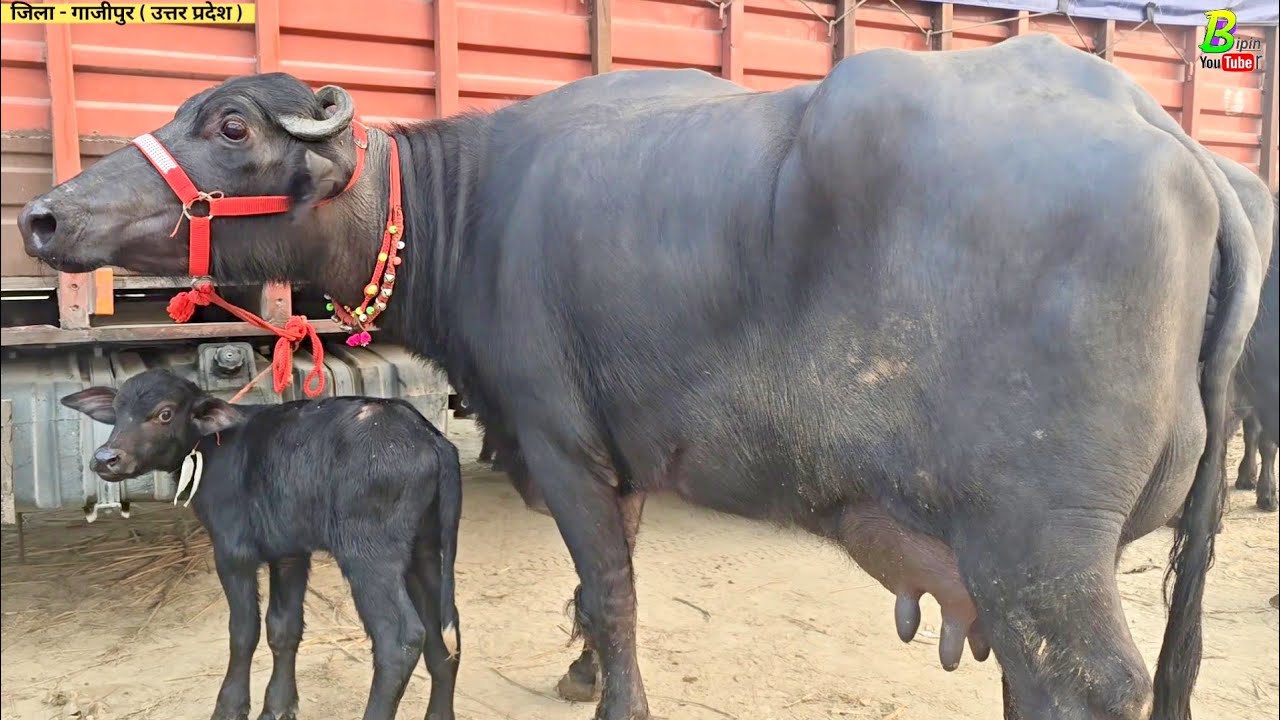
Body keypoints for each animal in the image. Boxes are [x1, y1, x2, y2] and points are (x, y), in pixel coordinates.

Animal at [19, 34, 1274, 720]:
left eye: (231, 123)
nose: (42, 215)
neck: (474, 212)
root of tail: (1188, 161)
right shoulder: (612, 456)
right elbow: (598, 586)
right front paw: (579, 671)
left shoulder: (559, 443)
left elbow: (613, 590)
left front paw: (614, 695)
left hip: (1038, 541)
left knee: (1086, 683)